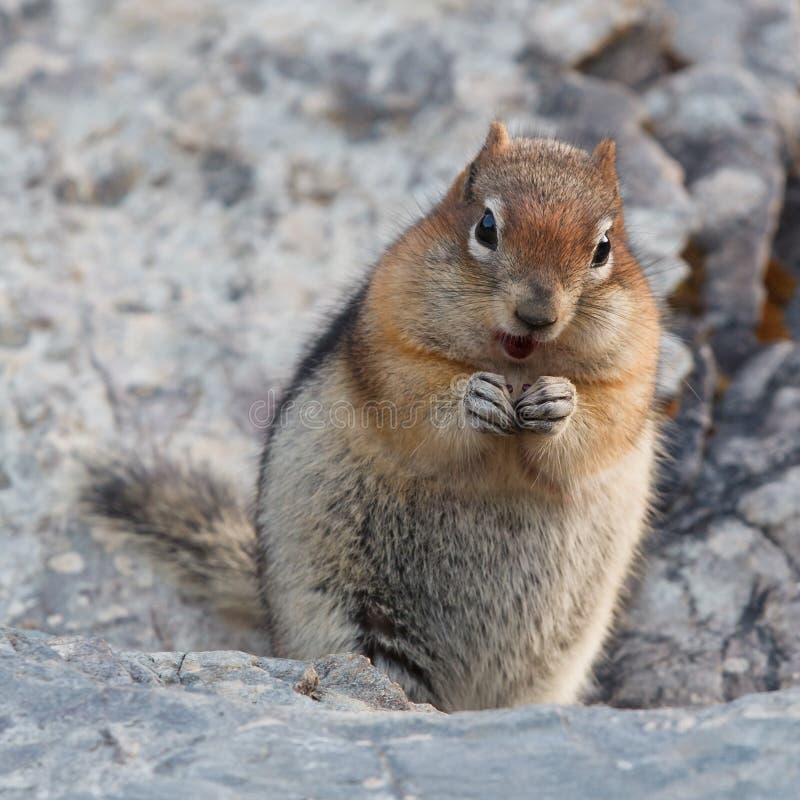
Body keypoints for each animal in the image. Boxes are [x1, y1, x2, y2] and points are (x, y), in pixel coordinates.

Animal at [86, 122, 664, 708]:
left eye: (603, 249)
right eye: (486, 226)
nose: (537, 314)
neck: (517, 363)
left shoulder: (633, 373)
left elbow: (603, 421)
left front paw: (558, 404)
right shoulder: (388, 335)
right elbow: (414, 398)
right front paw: (473, 397)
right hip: (353, 622)